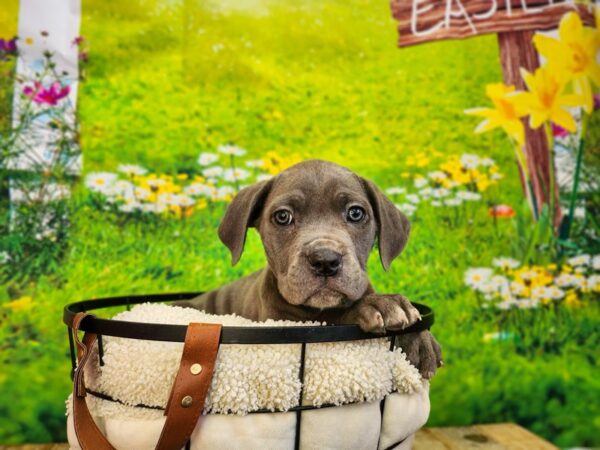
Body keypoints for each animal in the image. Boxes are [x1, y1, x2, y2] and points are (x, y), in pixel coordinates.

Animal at [176, 160, 442, 378]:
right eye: (283, 216)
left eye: (356, 212)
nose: (325, 260)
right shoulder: (284, 322)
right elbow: (334, 317)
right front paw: (380, 306)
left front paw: (418, 339)